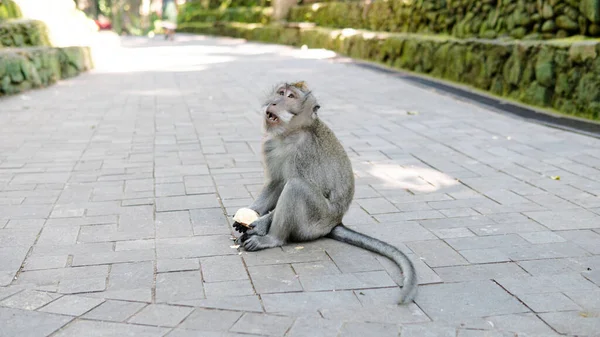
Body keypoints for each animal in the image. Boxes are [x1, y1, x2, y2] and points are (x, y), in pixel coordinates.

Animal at [232, 80, 420, 302]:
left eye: (291, 96)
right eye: (280, 92)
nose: (274, 102)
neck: (290, 134)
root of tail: (335, 221)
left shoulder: (305, 152)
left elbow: (293, 184)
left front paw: (260, 225)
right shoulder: (270, 144)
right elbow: (276, 183)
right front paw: (246, 216)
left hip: (317, 220)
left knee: (296, 187)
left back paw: (272, 239)